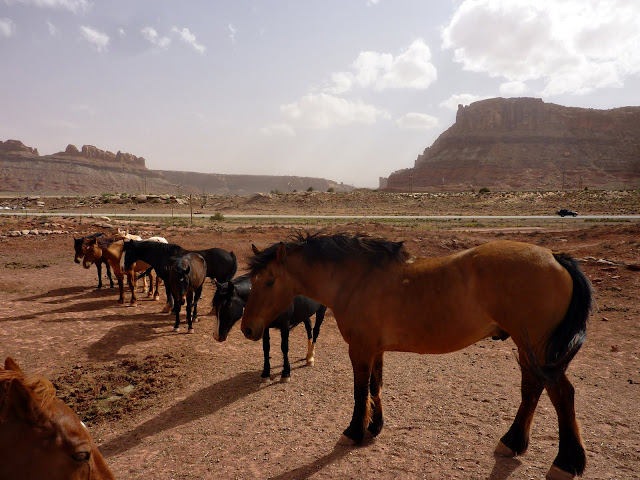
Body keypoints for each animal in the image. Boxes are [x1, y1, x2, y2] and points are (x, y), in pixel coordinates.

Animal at [240, 232, 593, 480]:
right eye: (252, 281)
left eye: (269, 281)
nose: (247, 328)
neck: (356, 279)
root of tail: (555, 257)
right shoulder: (375, 348)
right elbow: (376, 388)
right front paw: (375, 427)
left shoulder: (360, 348)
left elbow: (359, 391)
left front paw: (353, 432)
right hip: (529, 349)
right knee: (532, 388)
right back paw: (513, 442)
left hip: (538, 348)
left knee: (562, 394)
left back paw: (566, 462)